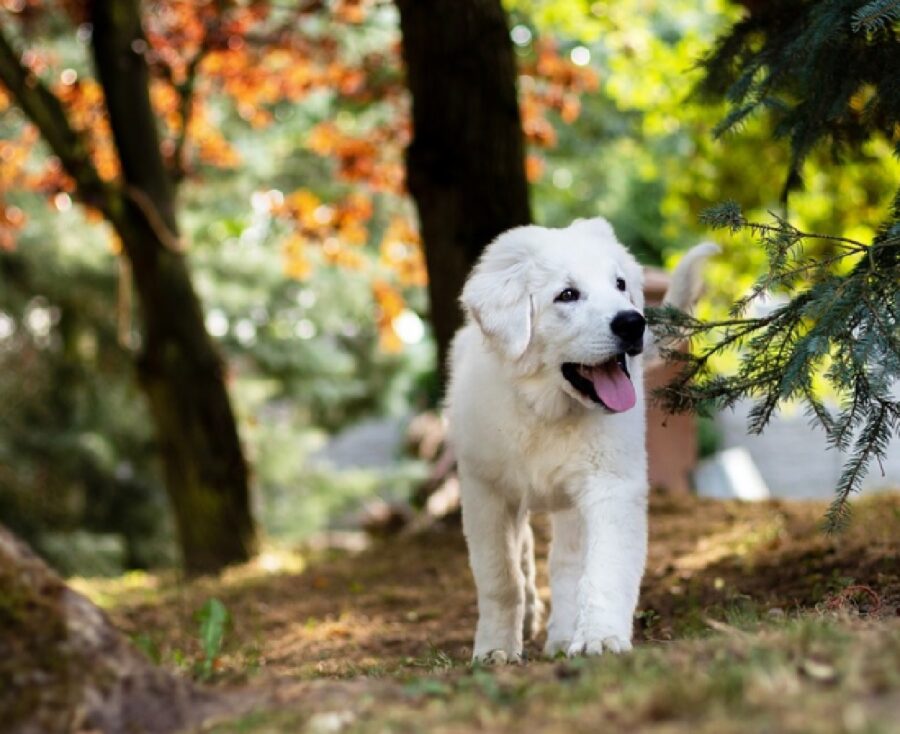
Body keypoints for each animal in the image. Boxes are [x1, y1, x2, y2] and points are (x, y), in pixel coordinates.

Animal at [446, 220, 712, 668]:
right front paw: (495, 647)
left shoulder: (610, 484)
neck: (546, 410)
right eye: (567, 295)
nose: (633, 323)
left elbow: (602, 569)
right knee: (526, 554)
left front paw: (599, 638)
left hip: (572, 503)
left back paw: (563, 635)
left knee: (566, 564)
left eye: (620, 284)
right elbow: (500, 576)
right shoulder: (485, 490)